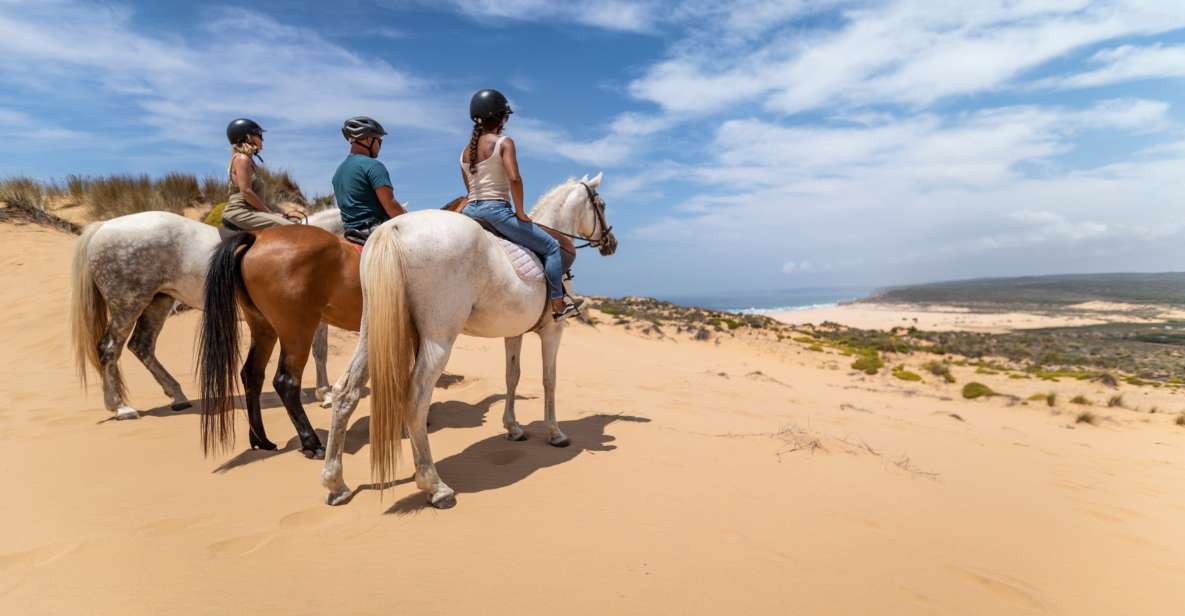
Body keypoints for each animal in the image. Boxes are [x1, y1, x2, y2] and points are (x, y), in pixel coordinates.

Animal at [71, 208, 343, 419]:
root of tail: (104, 226)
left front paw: (324, 391)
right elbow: (320, 350)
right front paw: (326, 393)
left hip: (158, 303)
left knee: (141, 347)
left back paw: (176, 395)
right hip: (127, 305)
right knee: (109, 349)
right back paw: (120, 407)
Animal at [322, 174, 620, 509]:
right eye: (601, 205)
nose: (611, 242)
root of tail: (392, 229)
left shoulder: (513, 332)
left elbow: (512, 376)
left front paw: (513, 428)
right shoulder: (552, 331)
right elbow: (549, 380)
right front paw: (555, 433)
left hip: (372, 332)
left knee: (346, 392)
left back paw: (336, 483)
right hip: (438, 339)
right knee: (415, 401)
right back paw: (434, 485)